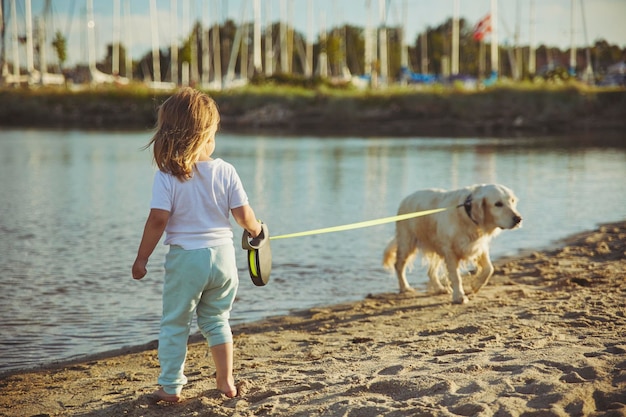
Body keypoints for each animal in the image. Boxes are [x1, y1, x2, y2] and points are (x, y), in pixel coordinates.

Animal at [382, 184, 520, 304]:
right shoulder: (450, 251)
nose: (518, 219)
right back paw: (405, 287)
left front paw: (475, 285)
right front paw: (459, 296)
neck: (467, 215)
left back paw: (440, 288)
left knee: (430, 272)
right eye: (498, 204)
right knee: (399, 266)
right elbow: (456, 277)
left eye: (512, 201)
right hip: (407, 243)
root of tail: (407, 198)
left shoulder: (479, 247)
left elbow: (489, 268)